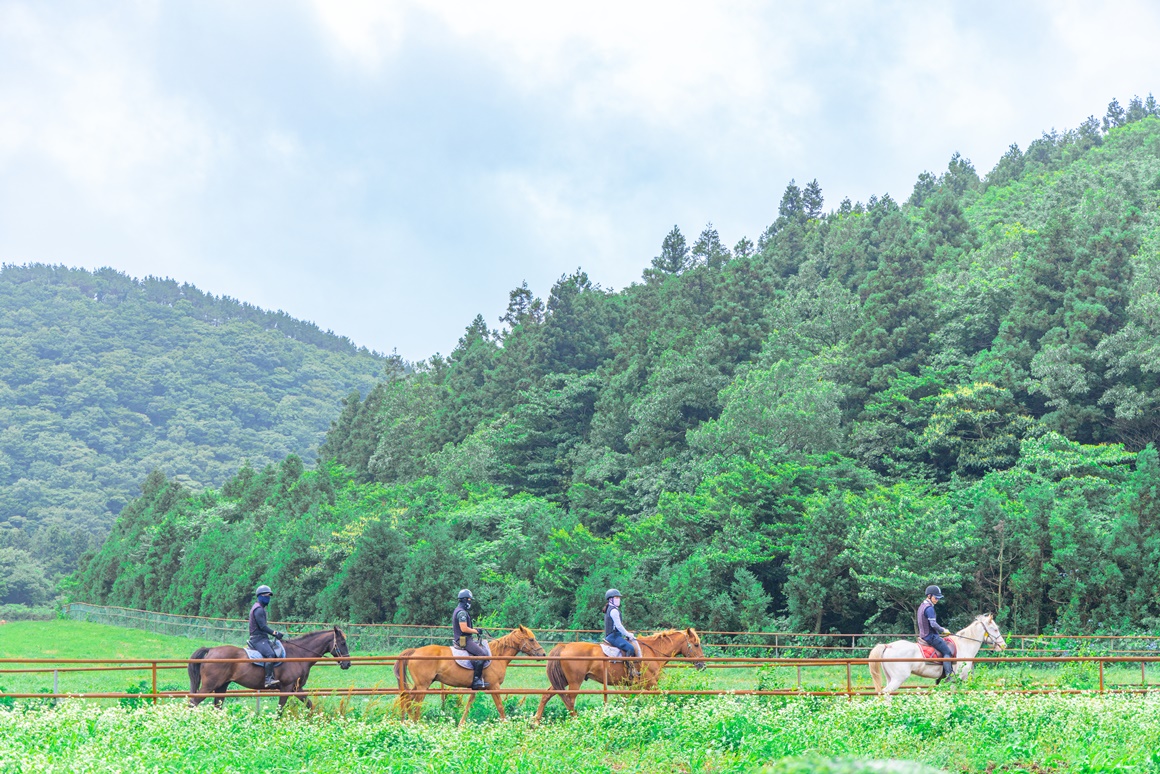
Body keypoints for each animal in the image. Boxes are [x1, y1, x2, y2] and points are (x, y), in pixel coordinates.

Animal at [183, 626, 348, 710]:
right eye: (343, 643)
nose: (347, 664)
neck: (299, 654)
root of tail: (211, 650)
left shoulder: (296, 688)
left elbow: (310, 705)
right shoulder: (286, 688)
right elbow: (280, 709)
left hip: (221, 687)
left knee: (217, 707)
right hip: (209, 686)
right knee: (192, 703)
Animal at [396, 621, 545, 728]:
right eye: (531, 639)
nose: (543, 654)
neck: (497, 655)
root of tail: (414, 651)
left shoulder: (476, 687)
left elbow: (468, 706)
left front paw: (460, 726)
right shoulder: (494, 687)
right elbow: (500, 707)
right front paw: (507, 727)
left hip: (420, 685)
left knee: (407, 699)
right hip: (423, 686)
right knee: (416, 703)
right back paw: (416, 724)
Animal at [533, 626, 705, 724]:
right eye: (696, 644)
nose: (702, 665)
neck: (653, 651)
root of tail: (564, 646)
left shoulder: (635, 686)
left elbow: (627, 700)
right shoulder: (650, 683)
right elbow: (660, 696)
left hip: (561, 681)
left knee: (547, 695)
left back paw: (535, 722)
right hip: (575, 682)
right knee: (570, 701)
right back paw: (576, 721)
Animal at [872, 612, 1006, 700]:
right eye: (995, 629)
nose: (1003, 645)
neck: (964, 645)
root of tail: (888, 646)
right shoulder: (958, 679)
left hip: (890, 678)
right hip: (898, 679)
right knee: (885, 693)